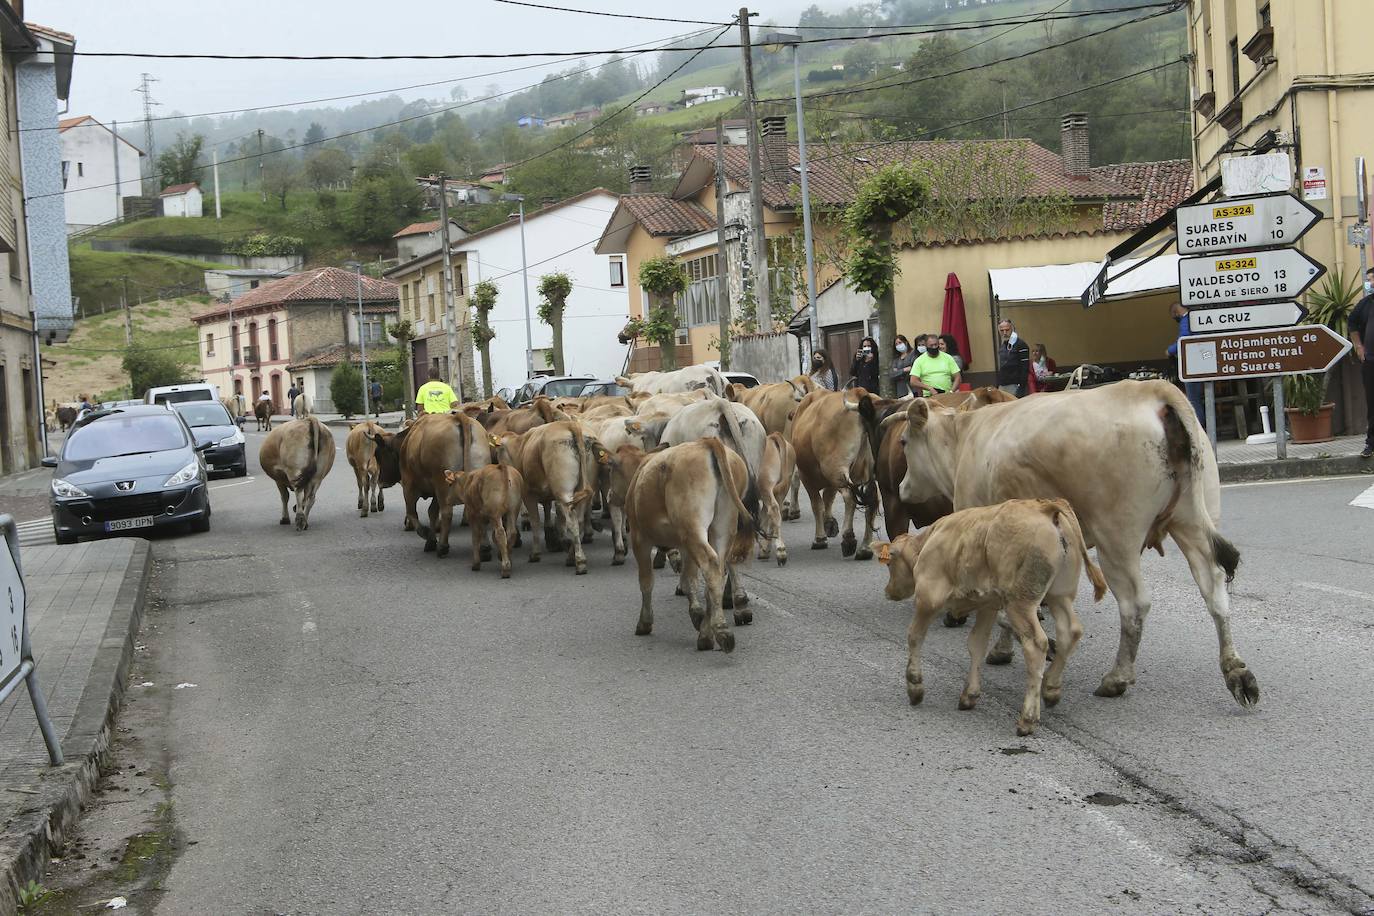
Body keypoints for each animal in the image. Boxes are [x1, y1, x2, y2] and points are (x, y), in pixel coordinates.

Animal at [370, 411, 494, 554]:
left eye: (378, 454)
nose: (381, 481)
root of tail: (458, 417)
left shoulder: (409, 485)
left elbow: (412, 512)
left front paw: (426, 534)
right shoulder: (435, 491)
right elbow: (432, 512)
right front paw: (431, 539)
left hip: (443, 483)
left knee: (447, 512)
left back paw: (443, 547)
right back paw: (484, 547)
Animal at [626, 436, 763, 650]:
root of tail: (707, 442)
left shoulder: (639, 538)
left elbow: (647, 581)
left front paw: (645, 622)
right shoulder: (684, 545)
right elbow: (689, 580)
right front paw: (697, 614)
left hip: (692, 526)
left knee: (710, 565)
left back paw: (721, 632)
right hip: (722, 527)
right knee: (717, 571)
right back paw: (708, 633)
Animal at [879, 497, 1104, 741]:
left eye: (889, 563)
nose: (888, 591)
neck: (931, 540)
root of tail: (1045, 507)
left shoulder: (928, 597)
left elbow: (915, 636)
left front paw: (915, 686)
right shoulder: (988, 605)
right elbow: (976, 643)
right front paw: (970, 694)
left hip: (1020, 602)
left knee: (1036, 645)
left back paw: (1028, 719)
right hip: (1059, 595)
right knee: (1070, 632)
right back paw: (1051, 689)